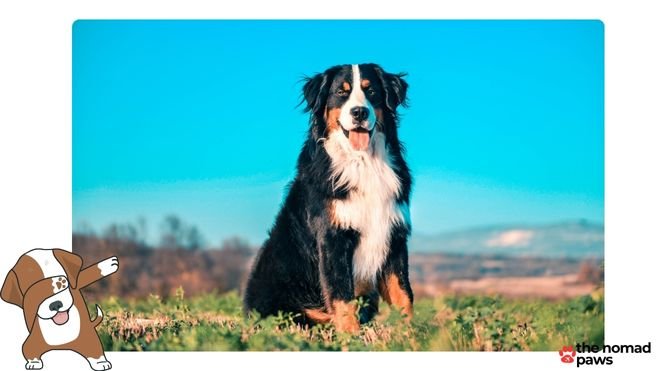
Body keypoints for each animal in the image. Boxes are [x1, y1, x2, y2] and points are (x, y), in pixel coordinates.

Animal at [245, 63, 412, 334]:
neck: (363, 163)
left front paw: (411, 335)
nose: (359, 112)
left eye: (371, 91)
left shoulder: (394, 236)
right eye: (341, 92)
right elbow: (342, 296)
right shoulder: (333, 238)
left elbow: (403, 294)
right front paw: (351, 337)